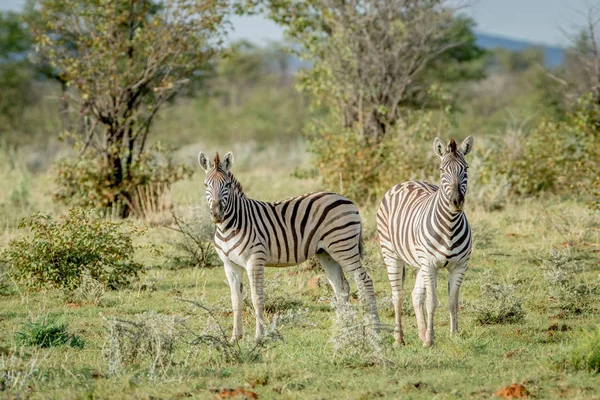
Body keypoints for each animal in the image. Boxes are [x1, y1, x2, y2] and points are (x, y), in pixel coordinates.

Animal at [197, 152, 380, 342]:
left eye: (227, 185)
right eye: (205, 185)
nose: (217, 214)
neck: (228, 226)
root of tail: (345, 199)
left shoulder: (255, 260)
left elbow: (256, 298)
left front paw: (259, 337)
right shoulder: (230, 266)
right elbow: (235, 300)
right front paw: (235, 337)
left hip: (344, 248)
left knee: (365, 281)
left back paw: (374, 329)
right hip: (326, 253)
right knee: (341, 287)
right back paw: (341, 330)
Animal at [380, 135, 474, 346]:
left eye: (465, 168)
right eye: (442, 170)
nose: (456, 202)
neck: (449, 226)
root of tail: (406, 181)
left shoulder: (459, 266)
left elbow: (452, 302)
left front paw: (454, 336)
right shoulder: (430, 264)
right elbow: (432, 302)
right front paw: (430, 341)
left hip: (420, 262)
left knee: (416, 295)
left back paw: (421, 333)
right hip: (391, 253)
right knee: (397, 296)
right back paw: (399, 338)